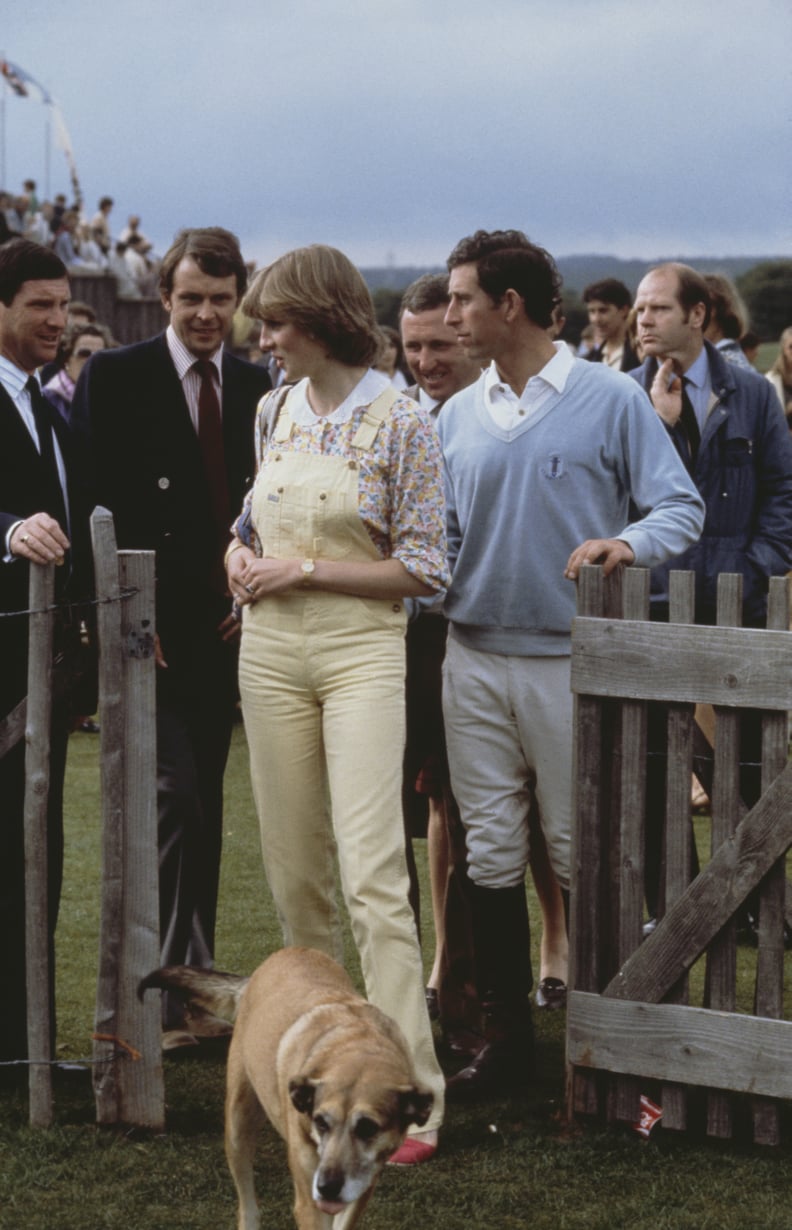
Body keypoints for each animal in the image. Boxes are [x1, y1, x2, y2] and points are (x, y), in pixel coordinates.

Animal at [138, 944, 430, 1225]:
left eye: (368, 1127)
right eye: (321, 1122)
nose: (326, 1187)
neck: (355, 1044)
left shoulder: (361, 1189)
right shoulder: (310, 1202)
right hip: (238, 1125)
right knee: (247, 1205)